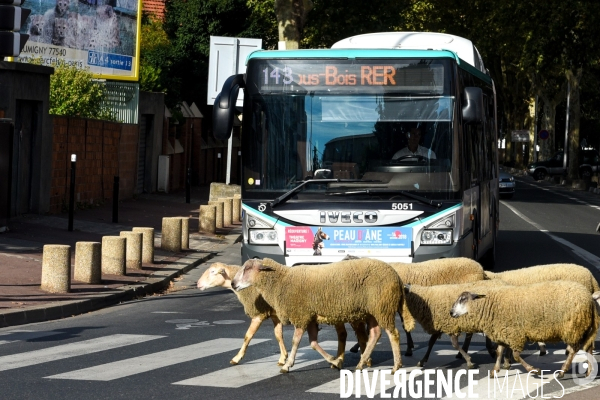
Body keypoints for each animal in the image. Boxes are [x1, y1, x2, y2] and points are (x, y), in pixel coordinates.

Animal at [232, 258, 414, 374]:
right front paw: (335, 361)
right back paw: (361, 363)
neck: (281, 281)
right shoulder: (310, 317)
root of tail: (397, 276)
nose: (233, 284)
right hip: (372, 311)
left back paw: (396, 366)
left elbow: (295, 341)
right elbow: (313, 343)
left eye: (247, 269)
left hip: (383, 307)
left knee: (393, 334)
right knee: (375, 334)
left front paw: (287, 365)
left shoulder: (301, 315)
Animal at [450, 280, 596, 376]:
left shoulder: (515, 334)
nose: (451, 312)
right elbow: (499, 351)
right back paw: (589, 371)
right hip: (583, 328)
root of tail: (589, 298)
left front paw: (534, 370)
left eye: (462, 299)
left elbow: (515, 356)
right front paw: (494, 371)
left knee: (574, 350)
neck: (490, 307)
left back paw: (563, 371)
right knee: (588, 348)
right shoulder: (503, 331)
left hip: (574, 328)